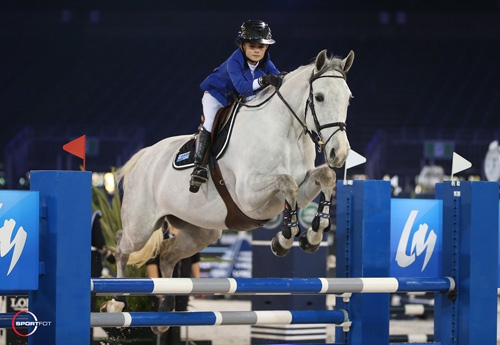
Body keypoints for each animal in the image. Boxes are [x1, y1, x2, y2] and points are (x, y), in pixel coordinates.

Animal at [104, 49, 356, 332]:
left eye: (348, 98)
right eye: (320, 96)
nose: (339, 154)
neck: (288, 133)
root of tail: (144, 156)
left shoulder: (302, 189)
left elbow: (325, 177)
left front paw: (312, 235)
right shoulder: (249, 194)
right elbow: (287, 182)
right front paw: (284, 238)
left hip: (201, 232)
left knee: (167, 256)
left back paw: (164, 312)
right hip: (141, 225)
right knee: (121, 246)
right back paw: (117, 302)